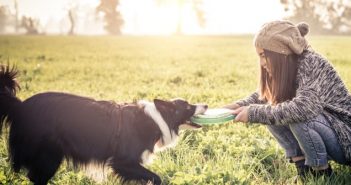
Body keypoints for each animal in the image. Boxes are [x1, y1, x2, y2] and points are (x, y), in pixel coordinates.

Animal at [0, 66, 209, 185]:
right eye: (188, 106)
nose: (206, 105)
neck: (157, 118)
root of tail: (20, 106)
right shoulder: (123, 161)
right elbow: (155, 177)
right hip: (49, 154)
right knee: (37, 177)